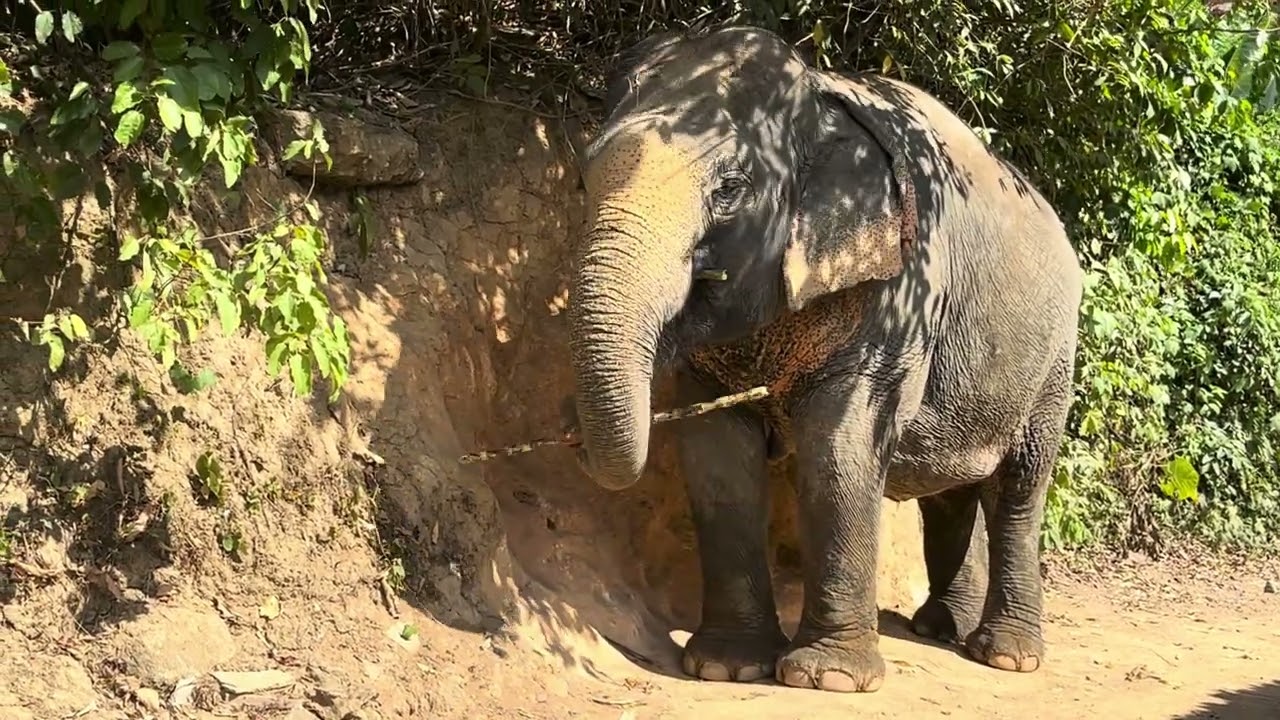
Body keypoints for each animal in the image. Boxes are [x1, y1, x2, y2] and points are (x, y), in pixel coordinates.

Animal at [564, 24, 1084, 693]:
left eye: (729, 188)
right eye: (581, 181)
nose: (572, 439)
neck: (817, 97)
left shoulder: (900, 287)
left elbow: (839, 448)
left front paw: (827, 677)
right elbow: (715, 458)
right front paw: (727, 667)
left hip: (1054, 357)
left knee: (1017, 488)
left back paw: (1006, 655)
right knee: (950, 489)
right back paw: (941, 628)